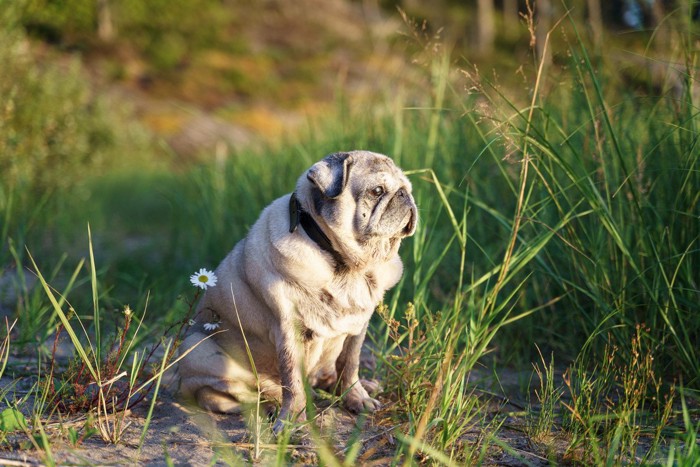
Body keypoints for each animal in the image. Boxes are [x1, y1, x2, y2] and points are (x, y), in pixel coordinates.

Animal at [179, 152, 416, 434]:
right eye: (377, 191)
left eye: (407, 188)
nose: (404, 195)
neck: (349, 267)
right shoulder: (289, 332)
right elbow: (292, 380)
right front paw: (291, 418)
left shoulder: (357, 330)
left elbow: (350, 365)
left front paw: (356, 397)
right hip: (196, 349)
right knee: (225, 395)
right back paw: (269, 404)